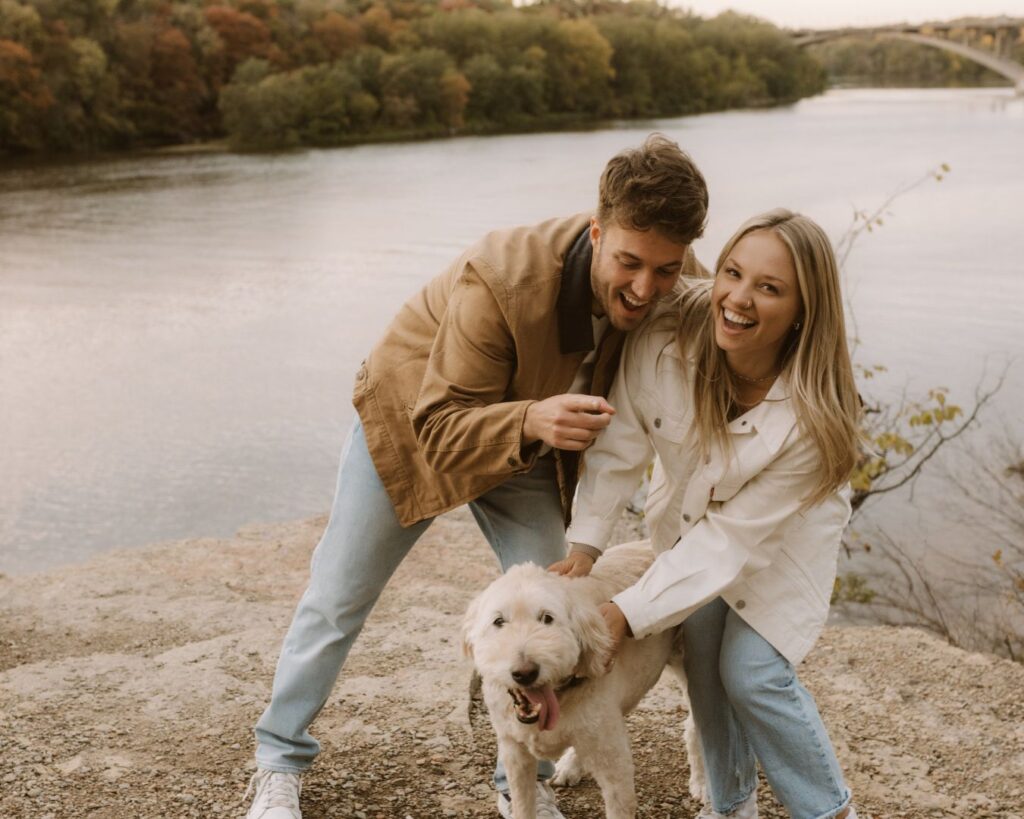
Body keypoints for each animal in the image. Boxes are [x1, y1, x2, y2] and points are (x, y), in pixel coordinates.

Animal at [460, 540, 700, 814]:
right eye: (498, 621)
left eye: (547, 618)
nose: (525, 673)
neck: (560, 696)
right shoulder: (515, 753)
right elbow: (522, 805)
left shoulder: (615, 768)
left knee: (696, 725)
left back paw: (702, 784)